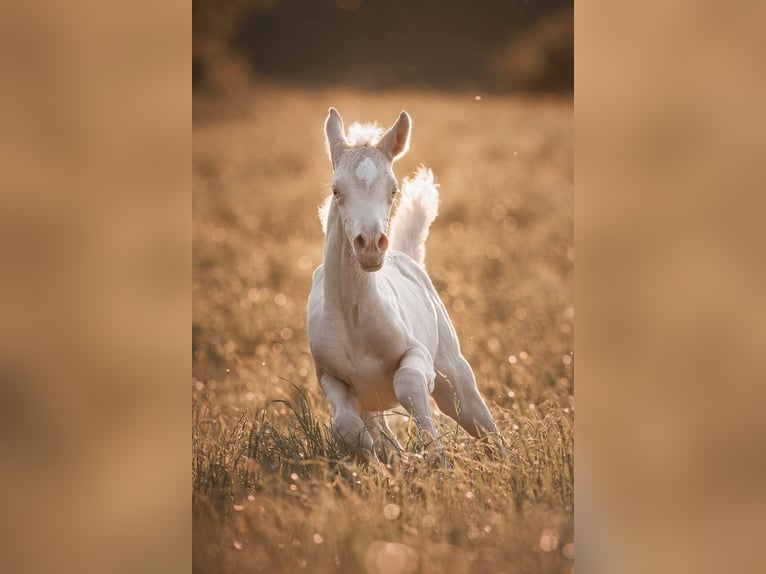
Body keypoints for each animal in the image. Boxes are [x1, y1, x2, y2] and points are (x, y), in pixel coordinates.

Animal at [307, 108, 503, 462]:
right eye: (336, 190)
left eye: (393, 190)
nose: (371, 245)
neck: (354, 318)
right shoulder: (329, 376)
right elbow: (347, 427)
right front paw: (384, 463)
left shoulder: (417, 355)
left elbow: (409, 383)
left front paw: (438, 458)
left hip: (454, 374)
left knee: (483, 424)